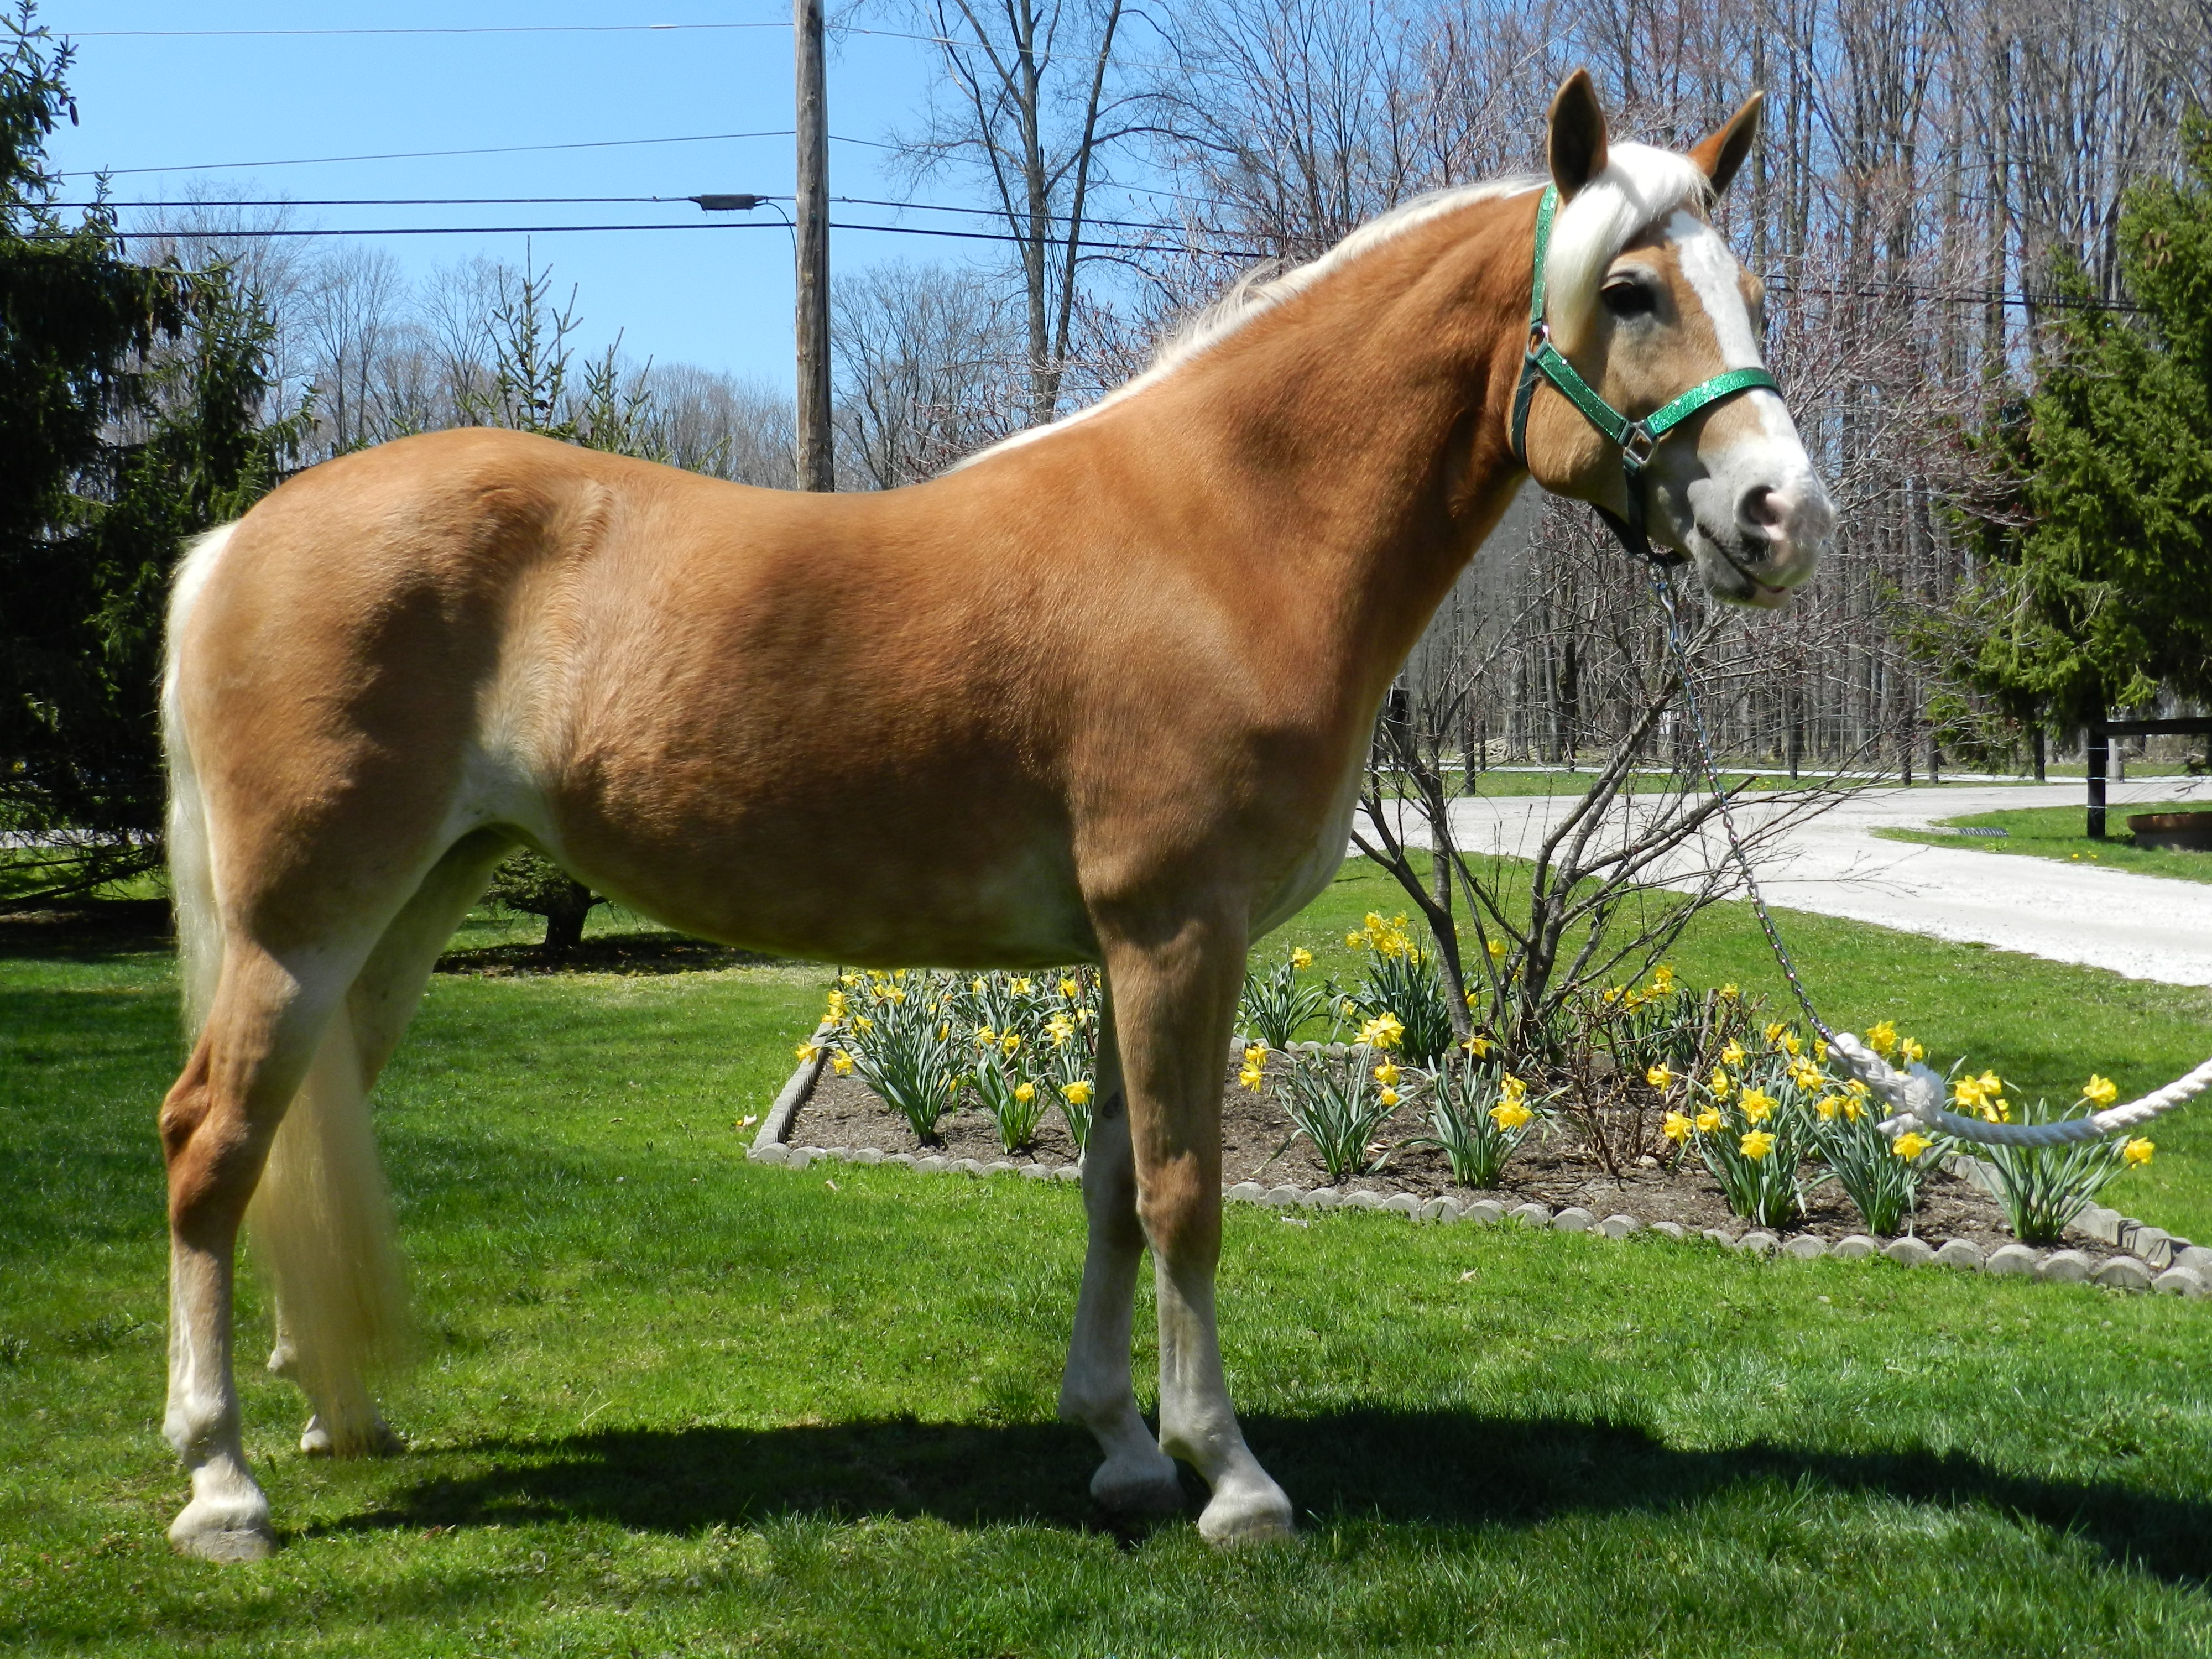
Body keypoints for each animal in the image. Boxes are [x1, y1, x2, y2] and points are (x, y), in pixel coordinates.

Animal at [153, 70, 1832, 1561]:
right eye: (1630, 291)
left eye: (1746, 287)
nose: (1783, 518)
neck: (1222, 530)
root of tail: (238, 537)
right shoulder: (1177, 931)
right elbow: (1184, 1196)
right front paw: (1234, 1482)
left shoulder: (1126, 948)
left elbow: (1108, 1192)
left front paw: (1123, 1452)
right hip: (301, 925)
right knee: (211, 1140)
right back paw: (222, 1486)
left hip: (407, 908)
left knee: (304, 1126)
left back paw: (341, 1417)